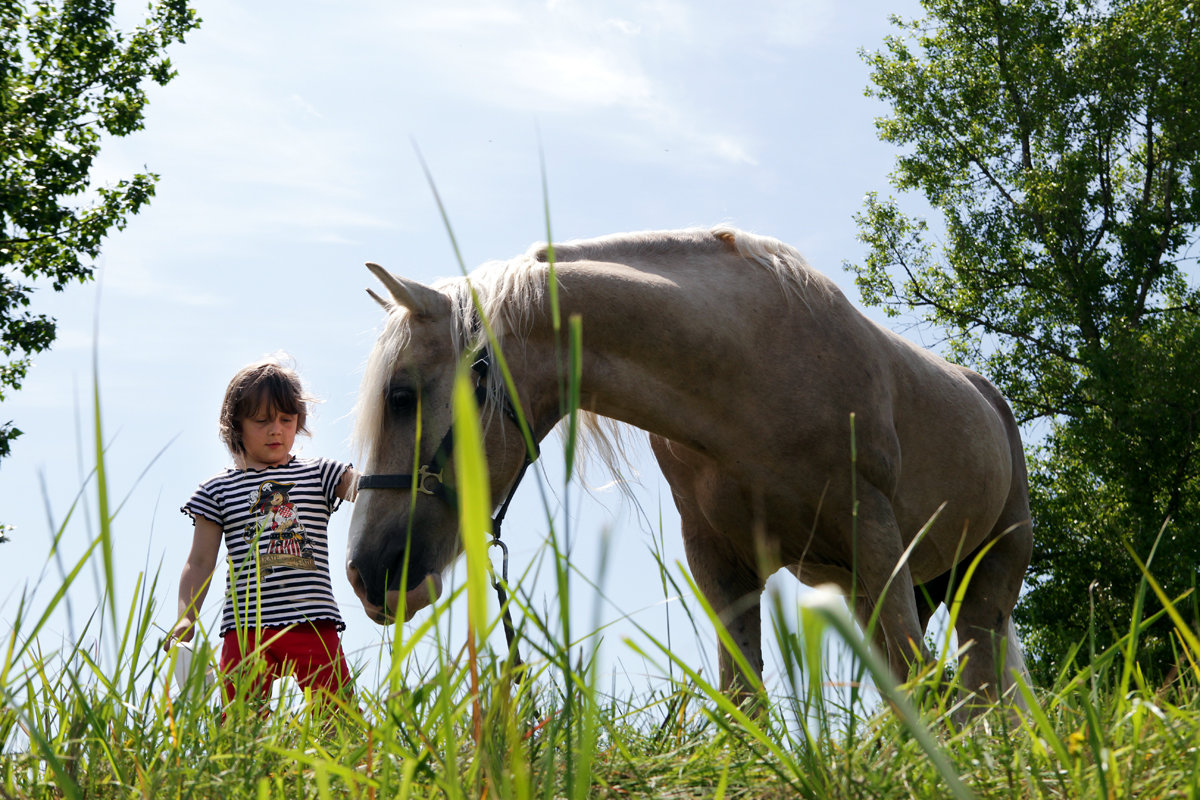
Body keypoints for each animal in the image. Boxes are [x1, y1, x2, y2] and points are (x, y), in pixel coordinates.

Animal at [345, 225, 1032, 705]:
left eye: (401, 396)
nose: (365, 574)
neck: (747, 374)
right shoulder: (722, 565)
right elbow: (745, 698)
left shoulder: (875, 535)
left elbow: (921, 681)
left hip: (983, 582)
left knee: (975, 692)